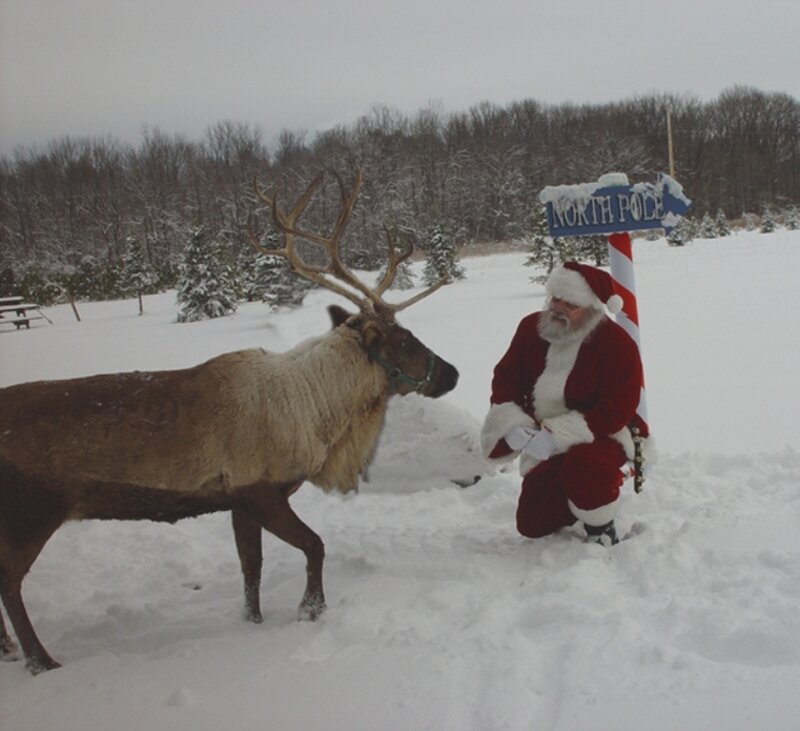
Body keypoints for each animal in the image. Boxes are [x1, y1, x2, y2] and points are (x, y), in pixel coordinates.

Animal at [0, 168, 459, 674]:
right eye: (405, 340)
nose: (453, 373)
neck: (317, 412)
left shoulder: (238, 501)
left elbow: (251, 568)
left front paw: (252, 622)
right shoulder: (261, 493)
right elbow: (315, 546)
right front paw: (310, 609)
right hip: (31, 510)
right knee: (9, 582)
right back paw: (41, 660)